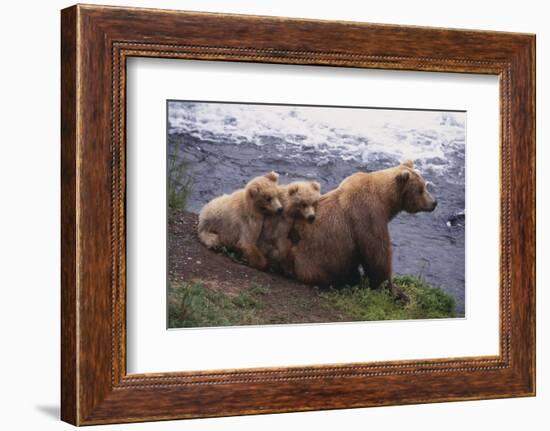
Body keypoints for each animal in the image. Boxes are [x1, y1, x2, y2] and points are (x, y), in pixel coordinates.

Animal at [288, 159, 440, 304]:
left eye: (425, 185)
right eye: (420, 190)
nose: (434, 202)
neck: (385, 202)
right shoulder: (368, 215)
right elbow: (378, 256)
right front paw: (397, 293)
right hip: (315, 262)